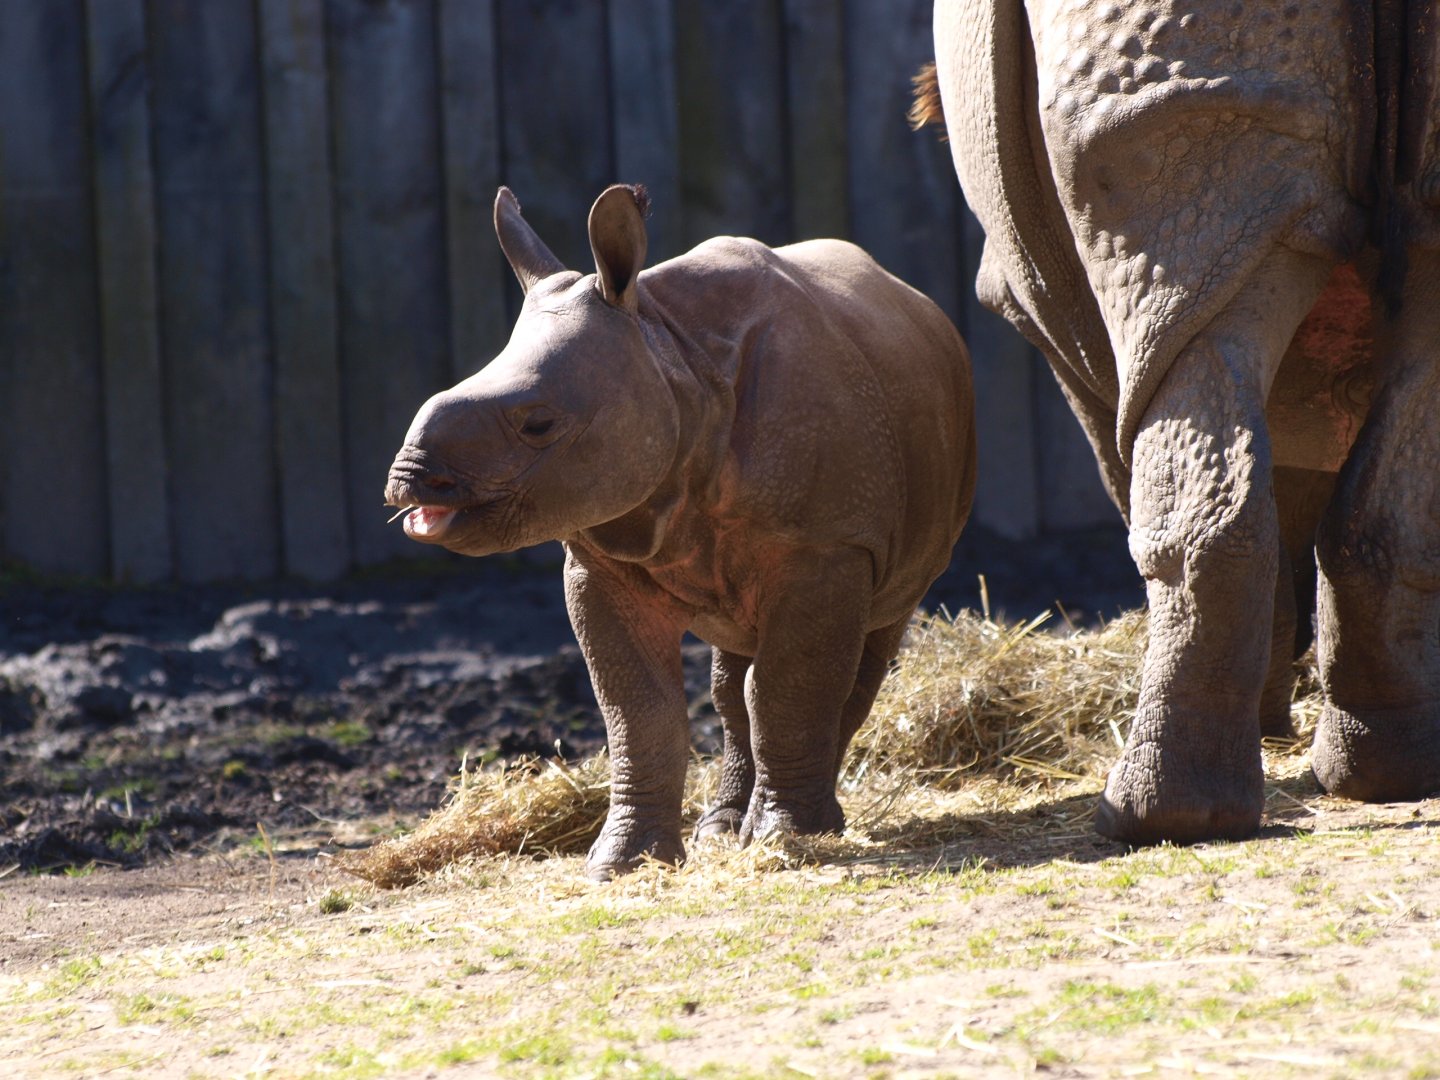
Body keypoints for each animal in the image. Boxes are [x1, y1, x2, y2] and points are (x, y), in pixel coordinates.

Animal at [385, 185, 975, 879]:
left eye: (538, 424)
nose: (408, 482)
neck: (668, 352)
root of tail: (918, 301)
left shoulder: (826, 542)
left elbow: (789, 686)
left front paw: (788, 837)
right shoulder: (600, 557)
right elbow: (640, 710)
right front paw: (625, 863)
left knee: (863, 641)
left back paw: (800, 824)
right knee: (735, 672)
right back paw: (725, 826)